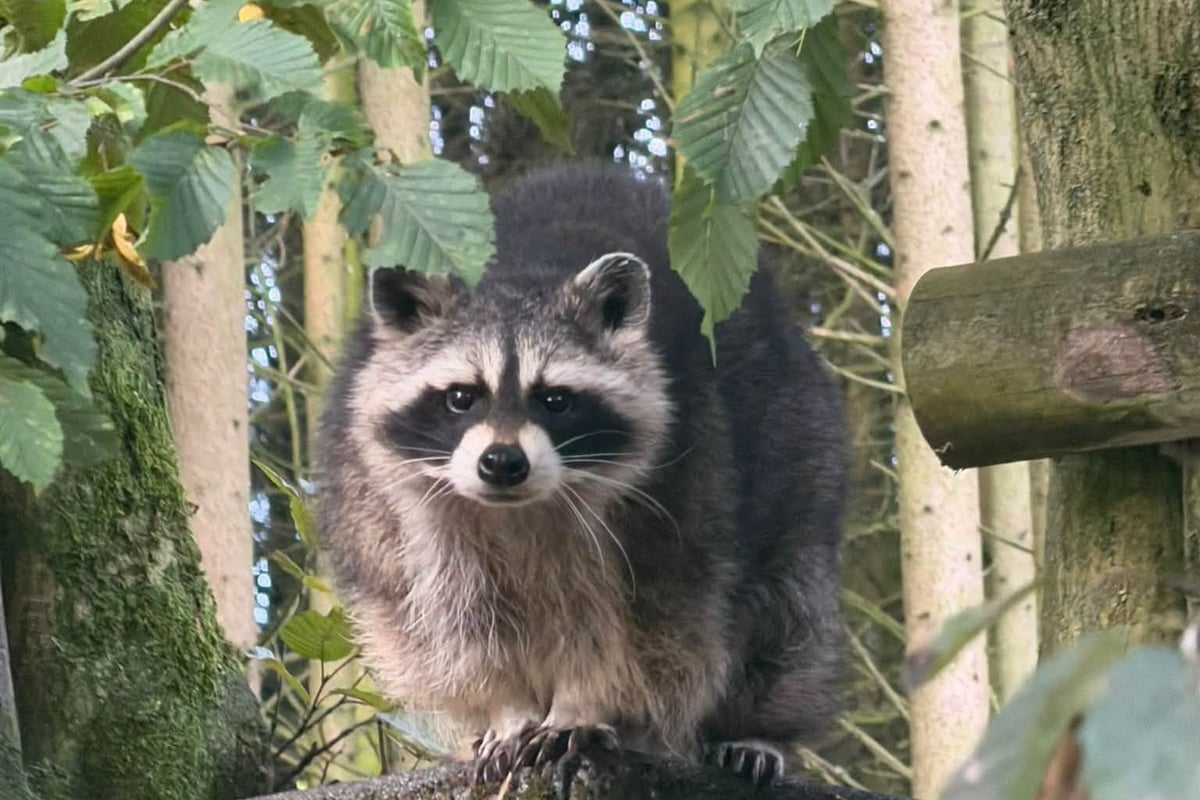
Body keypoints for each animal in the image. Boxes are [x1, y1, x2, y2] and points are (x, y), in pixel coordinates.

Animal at [316, 163, 848, 784]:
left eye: (555, 400)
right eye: (460, 397)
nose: (502, 463)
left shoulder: (685, 486)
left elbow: (644, 629)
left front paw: (581, 705)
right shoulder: (397, 514)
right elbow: (454, 624)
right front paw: (507, 708)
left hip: (801, 444)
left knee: (785, 615)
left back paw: (757, 727)